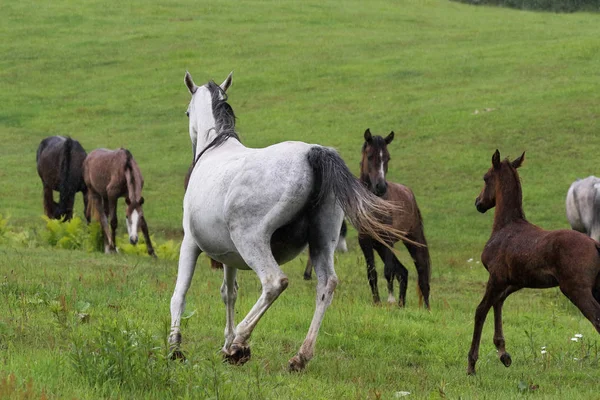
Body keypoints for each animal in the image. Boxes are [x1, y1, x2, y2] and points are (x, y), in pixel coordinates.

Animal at [168, 69, 408, 372]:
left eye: (187, 112)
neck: (216, 148)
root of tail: (312, 152)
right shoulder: (228, 257)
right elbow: (229, 294)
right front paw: (225, 340)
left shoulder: (190, 243)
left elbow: (180, 293)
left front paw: (176, 346)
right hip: (321, 242)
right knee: (326, 285)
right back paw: (299, 356)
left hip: (252, 241)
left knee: (274, 282)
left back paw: (240, 343)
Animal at [358, 129, 428, 310]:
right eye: (370, 156)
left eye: (387, 158)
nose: (381, 187)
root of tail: (409, 193)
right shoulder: (366, 241)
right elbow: (372, 273)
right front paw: (377, 302)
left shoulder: (387, 240)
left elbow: (388, 271)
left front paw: (390, 299)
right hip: (380, 246)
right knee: (403, 272)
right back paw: (401, 305)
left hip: (412, 239)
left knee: (422, 272)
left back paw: (427, 308)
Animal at [468, 149, 600, 376]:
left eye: (485, 178)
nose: (478, 203)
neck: (506, 226)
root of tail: (594, 244)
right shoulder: (515, 281)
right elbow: (498, 303)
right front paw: (503, 354)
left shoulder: (496, 277)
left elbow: (481, 310)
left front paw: (471, 364)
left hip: (577, 290)